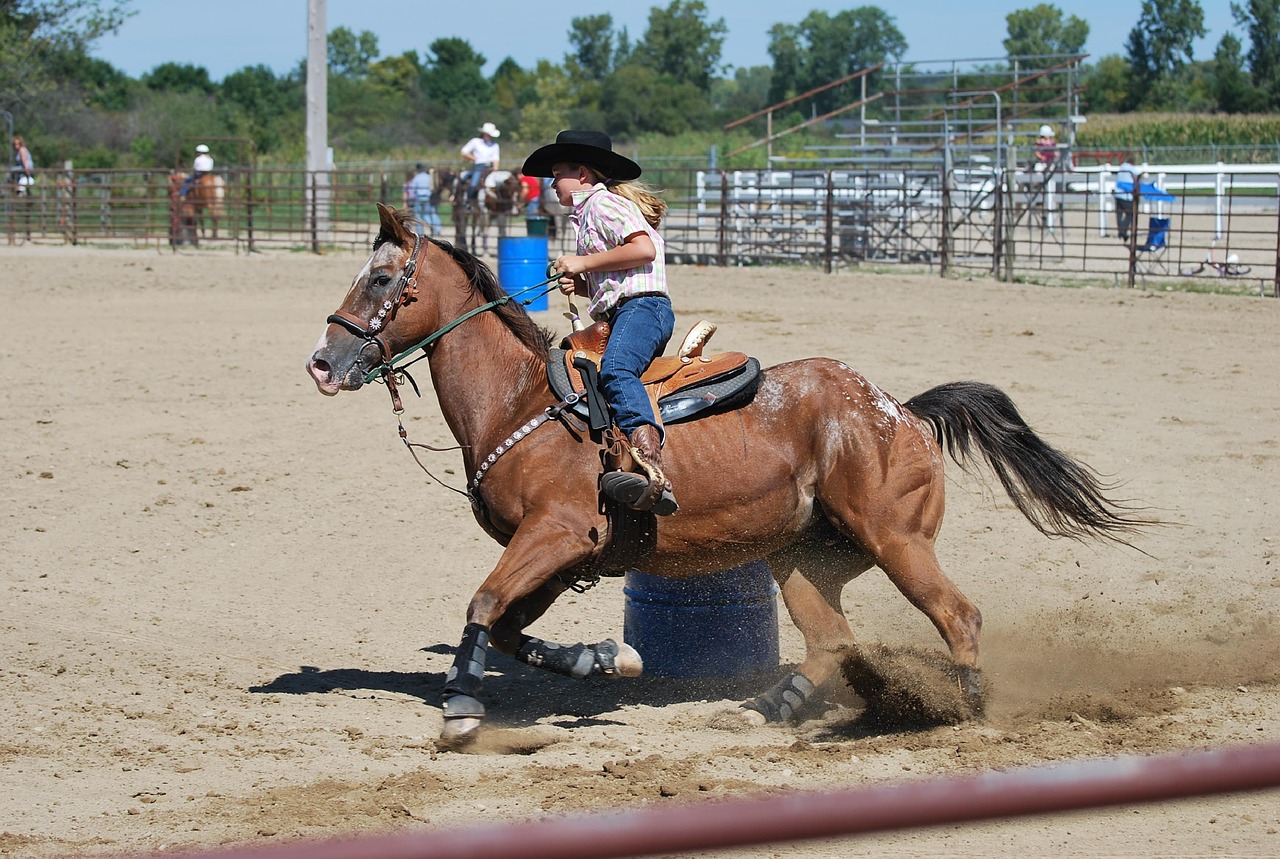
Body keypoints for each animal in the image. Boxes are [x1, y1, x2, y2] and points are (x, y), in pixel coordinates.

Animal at [302, 204, 1152, 747]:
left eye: (381, 282)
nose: (321, 363)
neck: (522, 400)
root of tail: (899, 411)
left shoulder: (556, 533)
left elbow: (482, 603)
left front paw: (460, 708)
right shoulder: (562, 552)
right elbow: (510, 626)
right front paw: (608, 658)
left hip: (897, 539)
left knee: (958, 615)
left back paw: (965, 710)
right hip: (803, 556)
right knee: (831, 640)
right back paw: (760, 711)